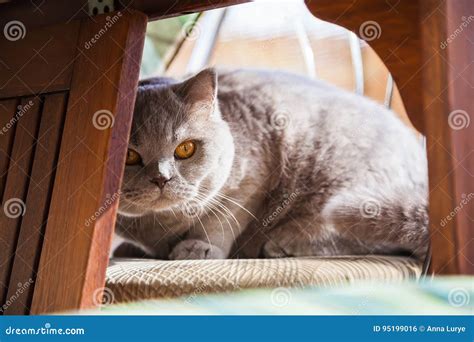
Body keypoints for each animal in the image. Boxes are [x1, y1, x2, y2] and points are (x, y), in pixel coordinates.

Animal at [115, 68, 430, 260]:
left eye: (185, 148)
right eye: (128, 155)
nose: (161, 178)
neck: (161, 224)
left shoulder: (251, 181)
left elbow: (219, 221)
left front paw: (200, 247)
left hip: (352, 191)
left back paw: (284, 242)